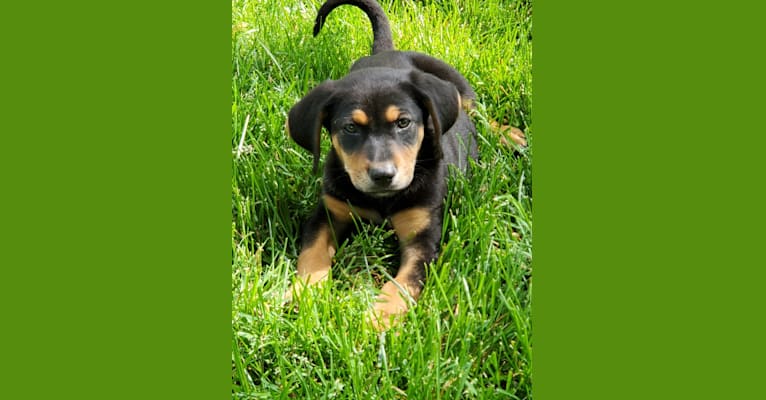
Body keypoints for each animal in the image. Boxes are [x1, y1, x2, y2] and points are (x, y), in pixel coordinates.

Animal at [284, 0, 476, 332]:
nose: (383, 176)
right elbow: (312, 254)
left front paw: (379, 317)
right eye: (350, 128)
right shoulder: (328, 213)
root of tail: (388, 52)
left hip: (458, 86)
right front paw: (303, 292)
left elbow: (403, 282)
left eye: (403, 123)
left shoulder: (423, 237)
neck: (382, 200)